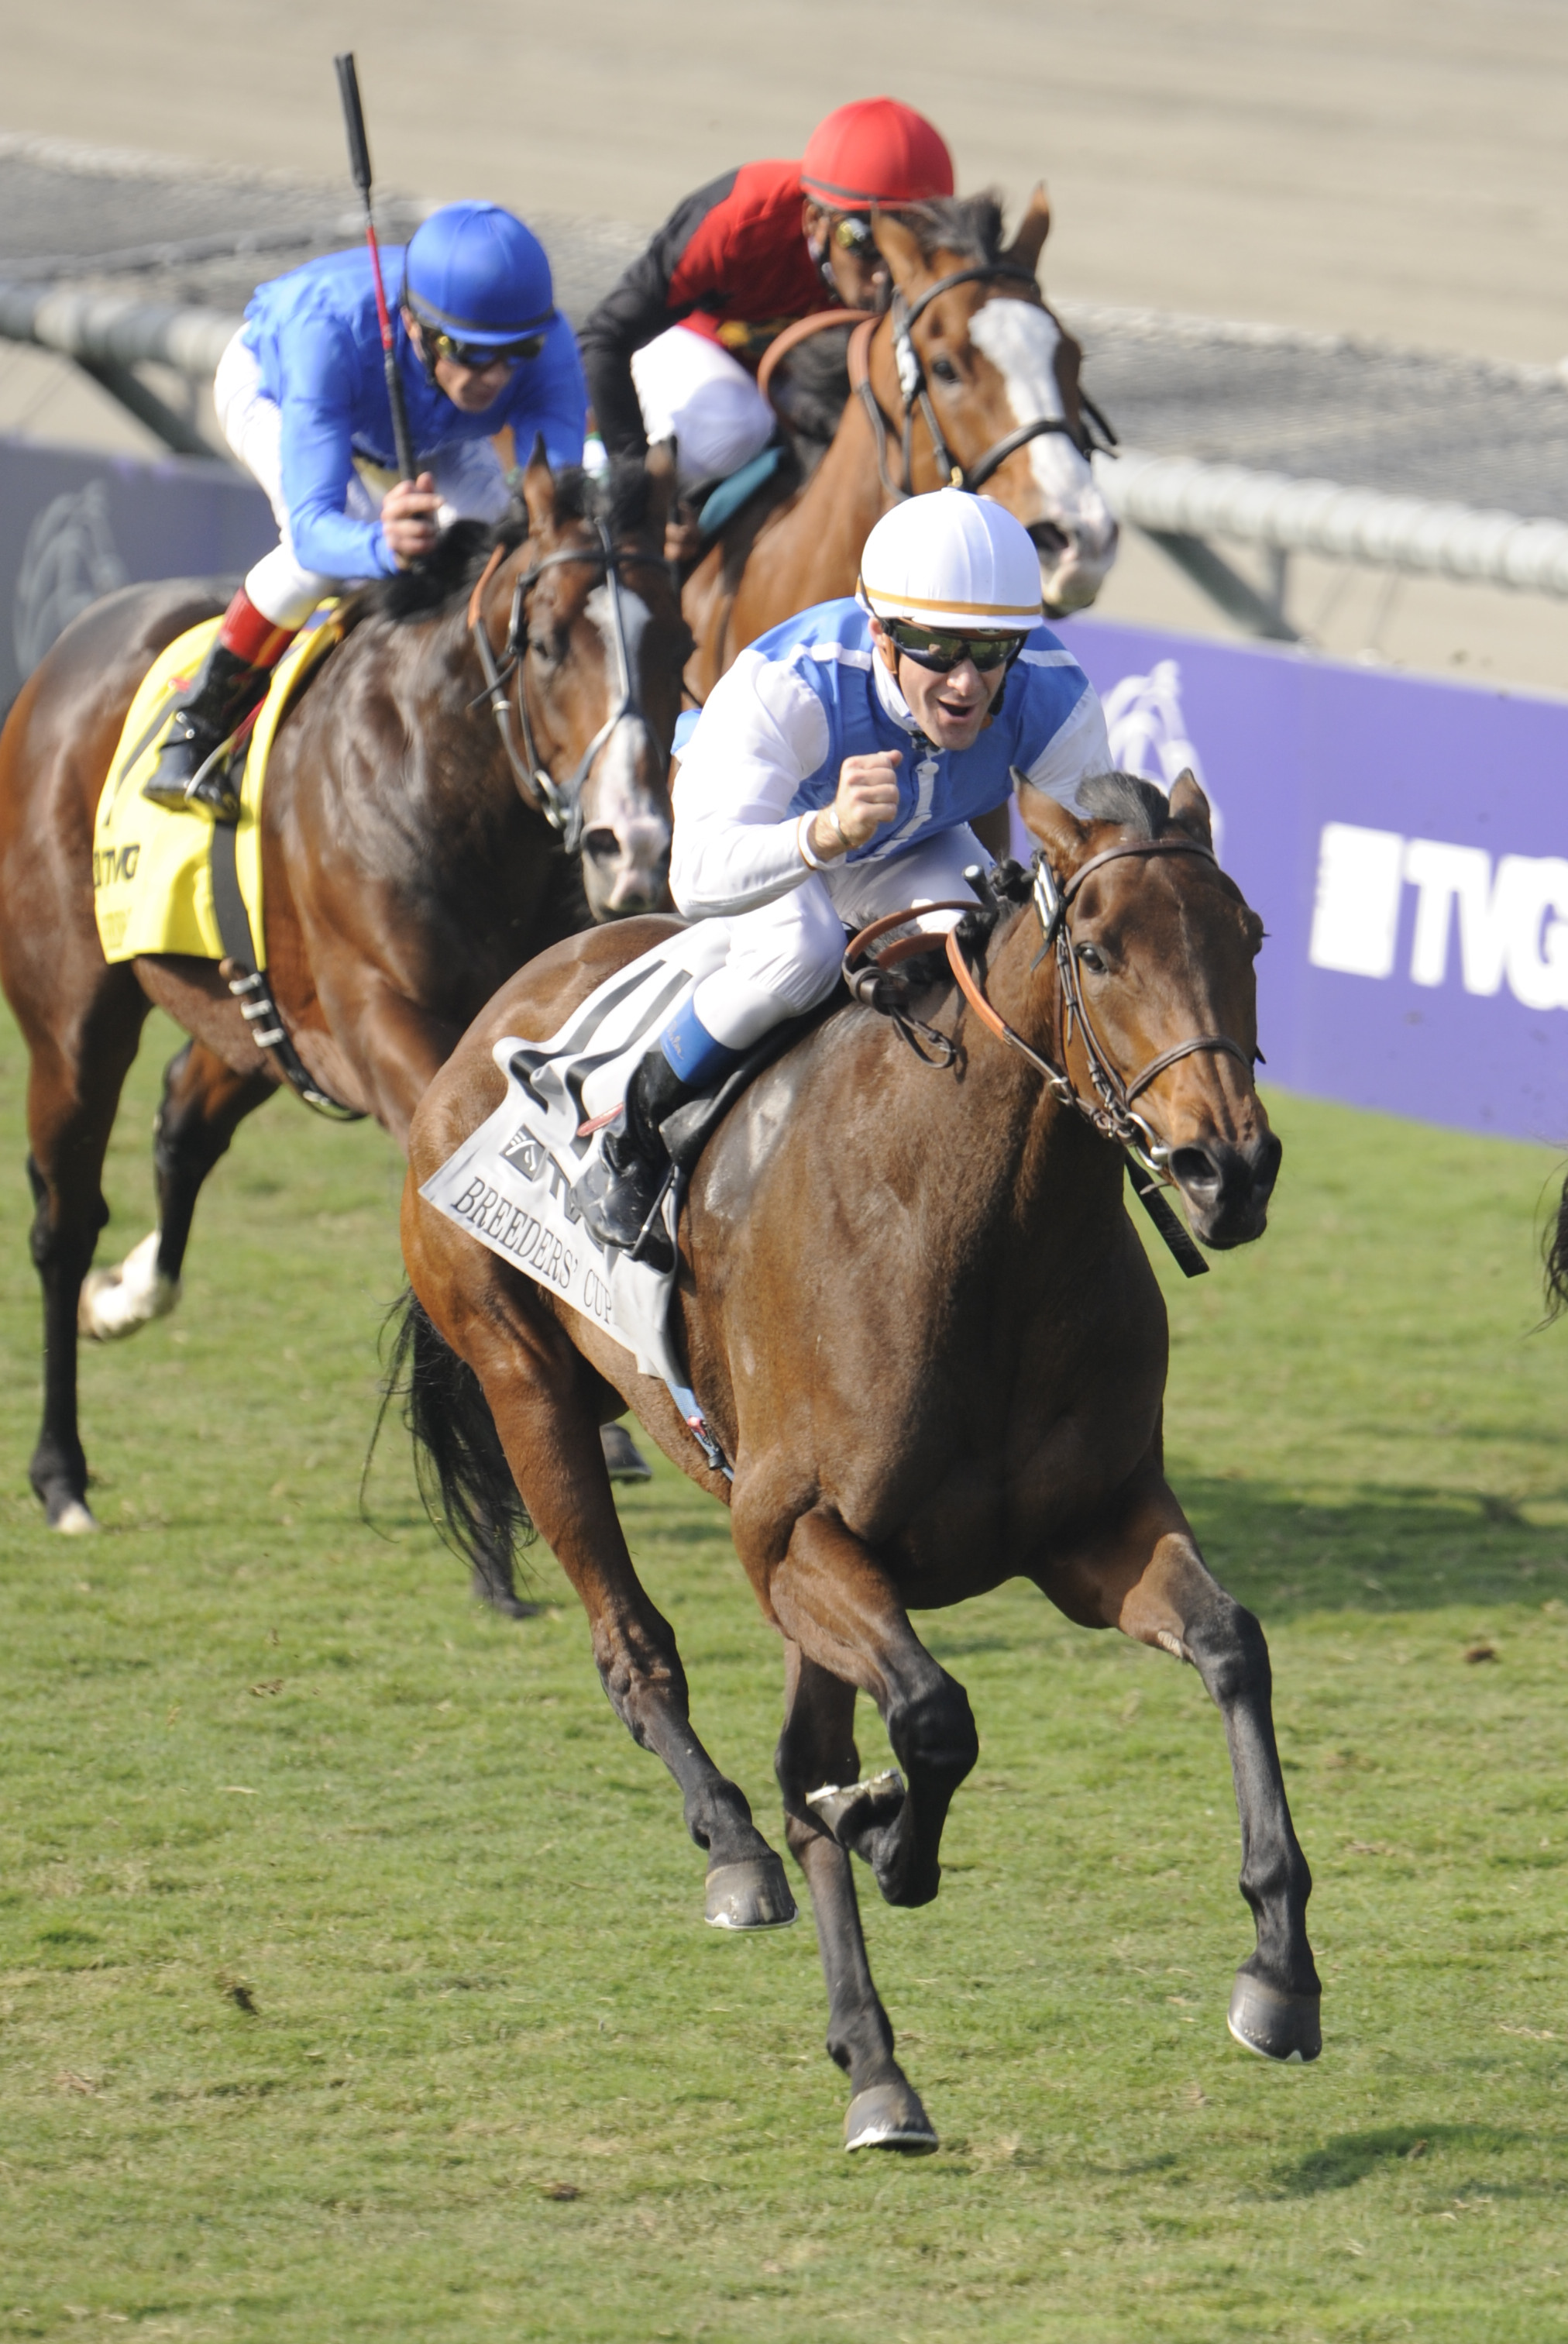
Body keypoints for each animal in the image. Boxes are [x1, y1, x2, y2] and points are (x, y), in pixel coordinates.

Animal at [0, 449, 684, 1565]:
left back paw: (133, 1292)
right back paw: (61, 1468)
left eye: (675, 640)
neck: (444, 780)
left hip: (256, 1015)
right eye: (545, 644)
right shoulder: (383, 1020)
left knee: (183, 1117)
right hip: (73, 1017)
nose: (631, 844)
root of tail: (71, 651)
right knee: (65, 1218)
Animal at [398, 773, 1312, 2156]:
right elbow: (930, 1721)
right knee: (643, 1658)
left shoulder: (1091, 1528)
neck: (975, 1233)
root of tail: (503, 1009)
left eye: (1249, 937)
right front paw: (889, 1843)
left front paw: (1278, 1970)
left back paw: (872, 2053)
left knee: (804, 1748)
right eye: (1100, 952)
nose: (1231, 1167)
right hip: (527, 1389)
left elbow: (1230, 1646)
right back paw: (746, 1863)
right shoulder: (795, 1534)